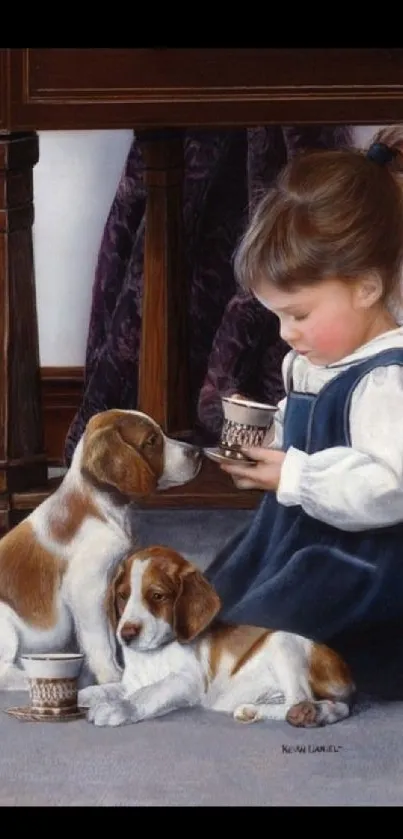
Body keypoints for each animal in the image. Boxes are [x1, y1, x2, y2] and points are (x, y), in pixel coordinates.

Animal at [0, 410, 202, 692]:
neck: (100, 504)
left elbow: (109, 633)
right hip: (5, 623)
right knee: (4, 672)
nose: (198, 452)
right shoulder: (87, 590)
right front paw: (112, 676)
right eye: (152, 440)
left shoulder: (107, 587)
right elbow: (99, 641)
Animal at [79, 544, 356, 728]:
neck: (155, 654)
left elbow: (151, 692)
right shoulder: (130, 683)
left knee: (302, 699)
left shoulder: (186, 681)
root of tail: (348, 677)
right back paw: (256, 710)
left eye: (157, 596)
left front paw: (120, 708)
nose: (126, 634)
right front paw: (82, 696)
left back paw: (307, 714)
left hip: (282, 642)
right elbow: (103, 689)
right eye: (123, 596)